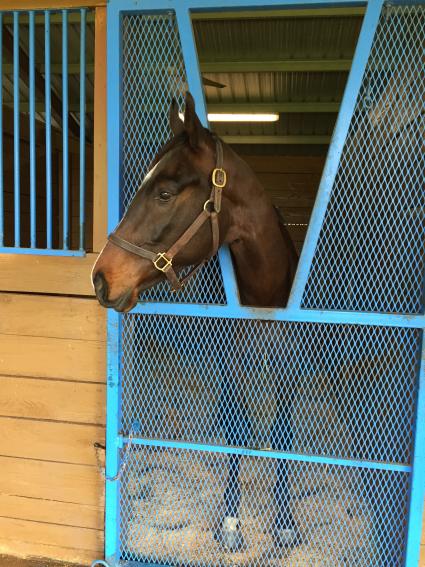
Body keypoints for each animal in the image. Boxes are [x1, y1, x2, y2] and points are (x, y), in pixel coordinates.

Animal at [92, 92, 298, 552]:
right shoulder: (229, 359)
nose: (100, 277)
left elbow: (282, 434)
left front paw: (285, 523)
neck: (264, 291)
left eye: (165, 193)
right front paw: (232, 523)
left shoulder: (291, 364)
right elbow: (237, 429)